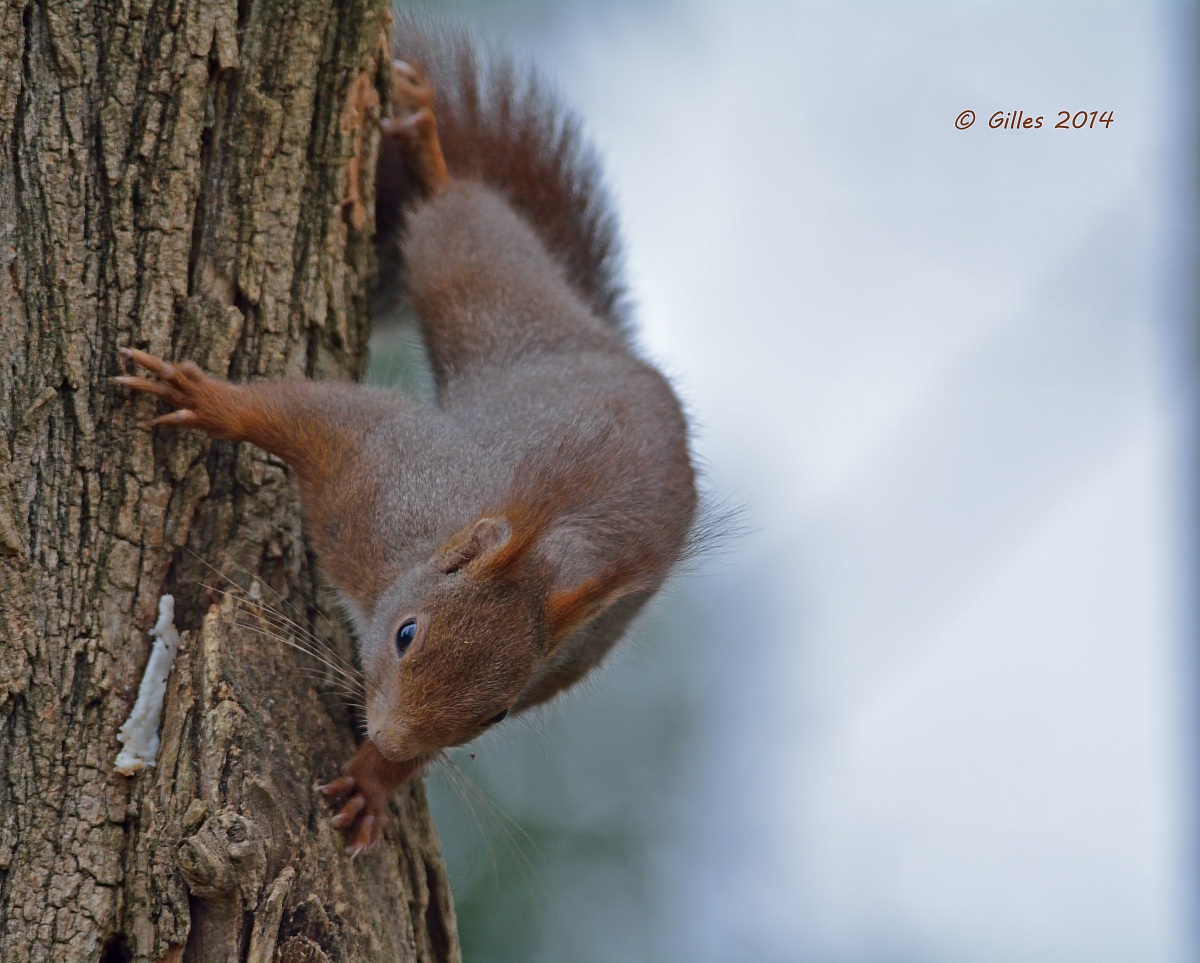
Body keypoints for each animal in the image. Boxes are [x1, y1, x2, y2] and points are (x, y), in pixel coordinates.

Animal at [115, 14, 697, 856]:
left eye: (495, 712)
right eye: (407, 634)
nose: (390, 738)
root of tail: (611, 346)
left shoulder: (559, 661)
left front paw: (372, 780)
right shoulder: (377, 475)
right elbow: (304, 412)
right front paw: (209, 398)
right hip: (483, 285)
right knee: (459, 214)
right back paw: (429, 146)